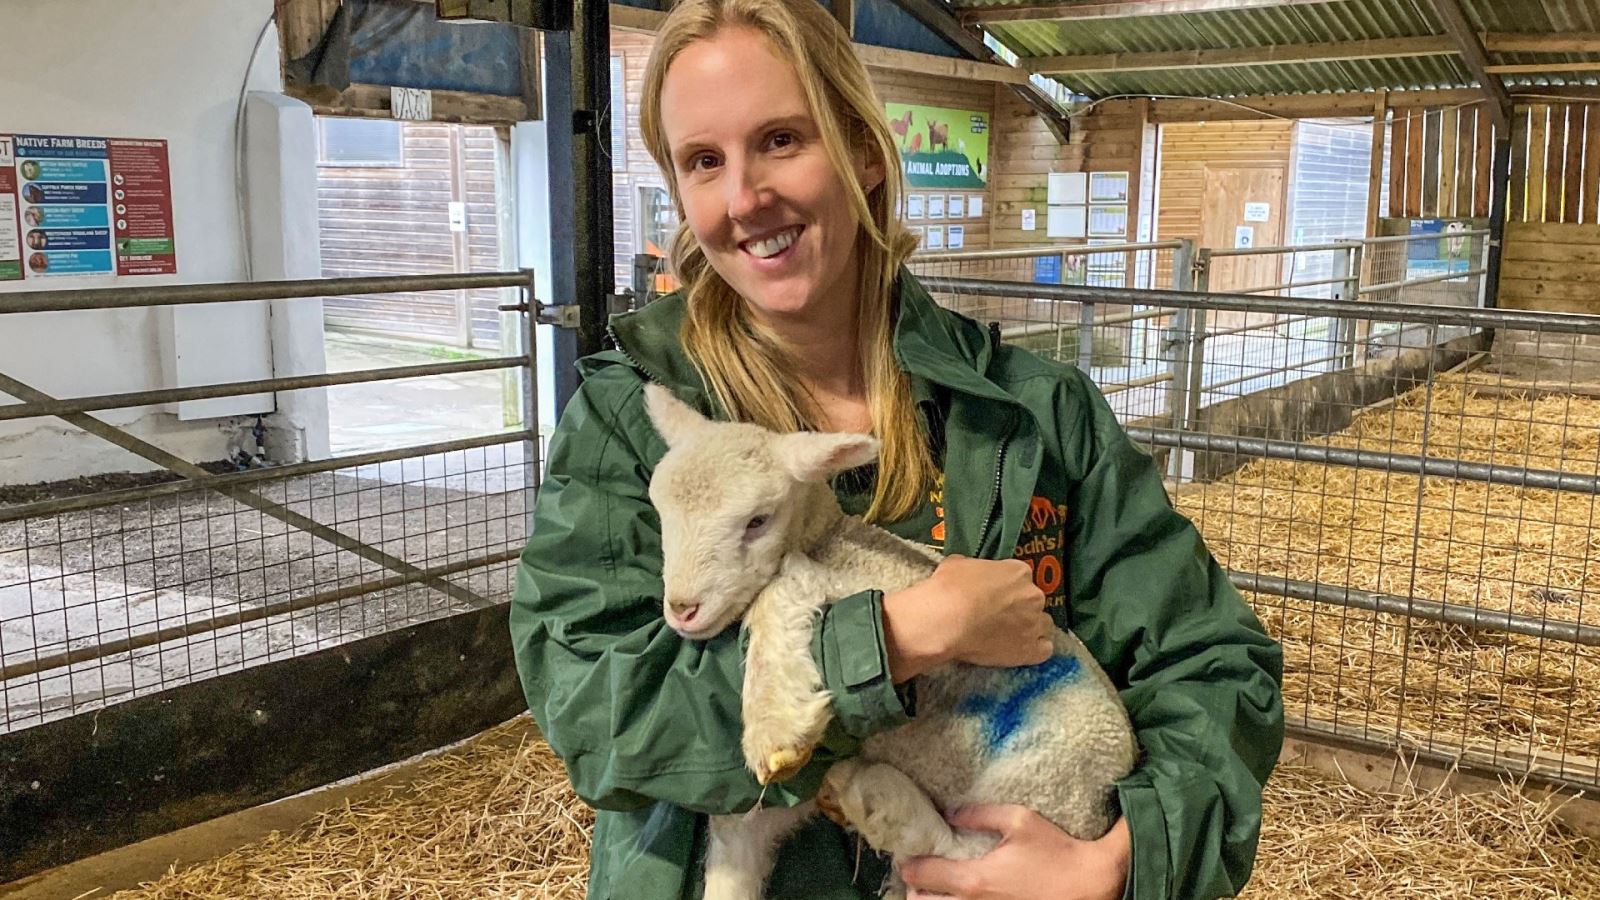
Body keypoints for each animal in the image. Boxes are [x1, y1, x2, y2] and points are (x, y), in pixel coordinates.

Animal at [636, 385, 1139, 896]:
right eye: (661, 515)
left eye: (757, 521)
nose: (682, 608)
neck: (831, 538)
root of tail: (1102, 804)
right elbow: (734, 844)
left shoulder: (849, 582)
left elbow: (777, 591)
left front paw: (774, 729)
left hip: (1037, 785)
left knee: (969, 855)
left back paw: (873, 797)